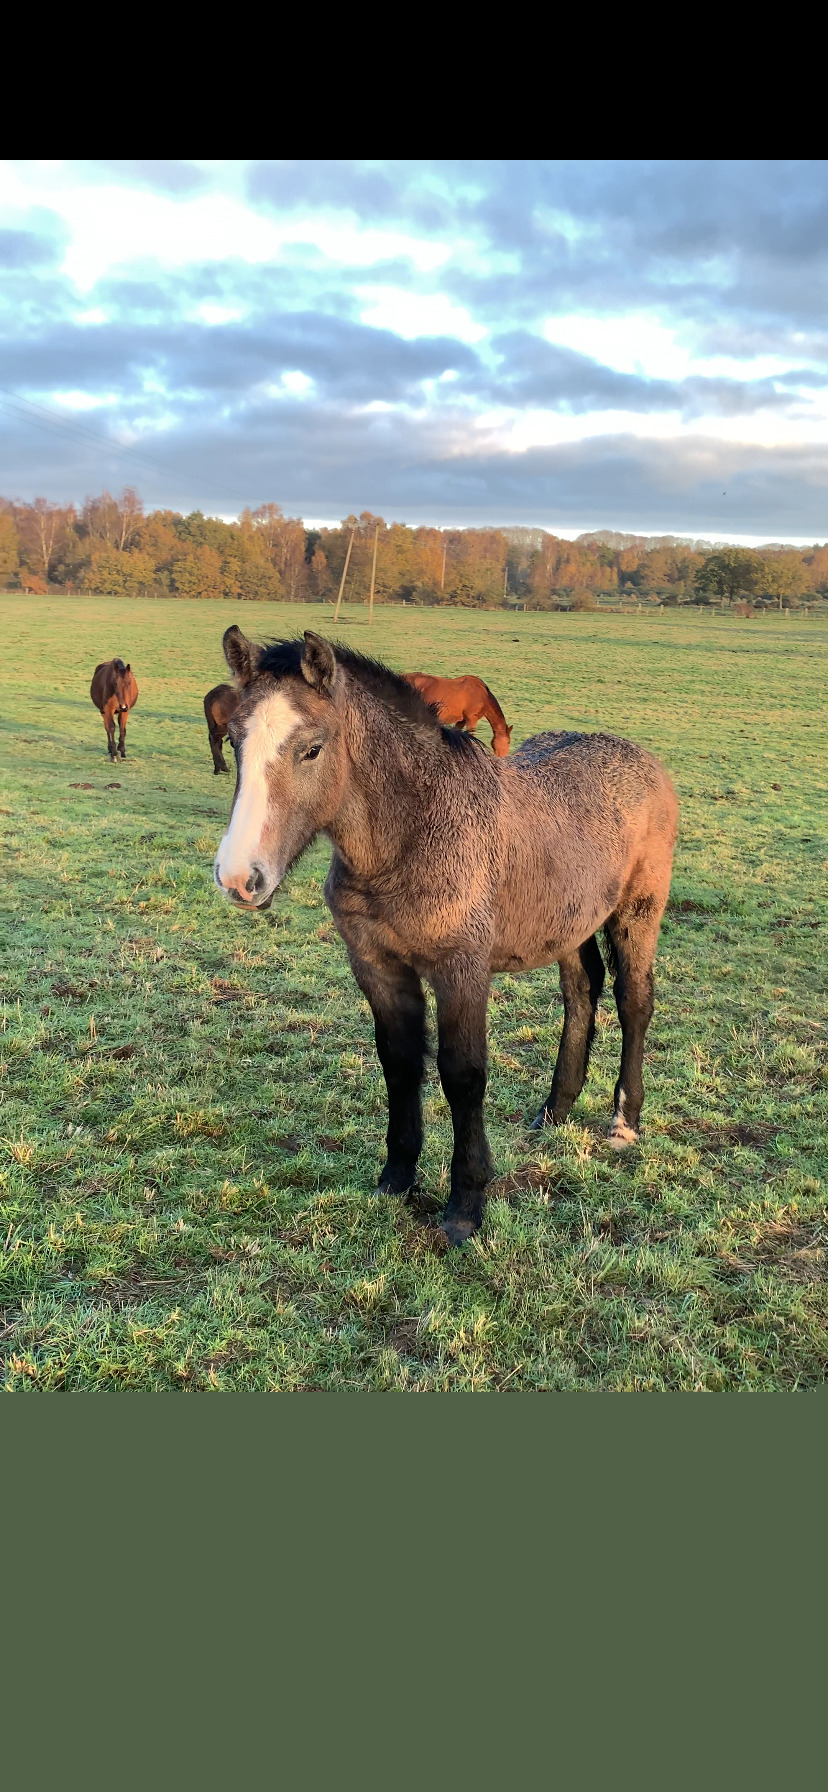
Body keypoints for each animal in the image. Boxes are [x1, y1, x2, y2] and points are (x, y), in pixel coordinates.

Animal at [214, 628, 678, 1246]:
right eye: (234, 740)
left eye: (312, 748)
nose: (240, 878)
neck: (412, 835)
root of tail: (645, 759)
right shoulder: (377, 965)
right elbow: (400, 1062)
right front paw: (397, 1177)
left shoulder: (462, 969)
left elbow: (463, 1075)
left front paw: (465, 1204)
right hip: (572, 922)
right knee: (582, 993)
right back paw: (554, 1110)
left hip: (636, 913)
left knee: (634, 1001)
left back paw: (624, 1123)